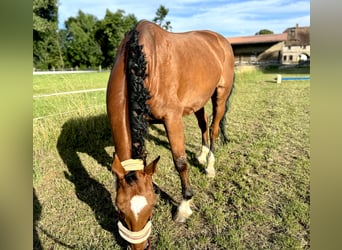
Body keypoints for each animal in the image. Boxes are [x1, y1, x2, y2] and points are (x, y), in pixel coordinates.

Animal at [107, 20, 235, 250]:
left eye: (152, 207)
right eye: (120, 209)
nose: (139, 247)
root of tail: (220, 40)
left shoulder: (172, 118)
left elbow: (180, 162)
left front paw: (184, 207)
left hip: (220, 92)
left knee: (213, 128)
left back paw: (209, 165)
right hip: (198, 100)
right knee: (203, 124)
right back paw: (202, 155)